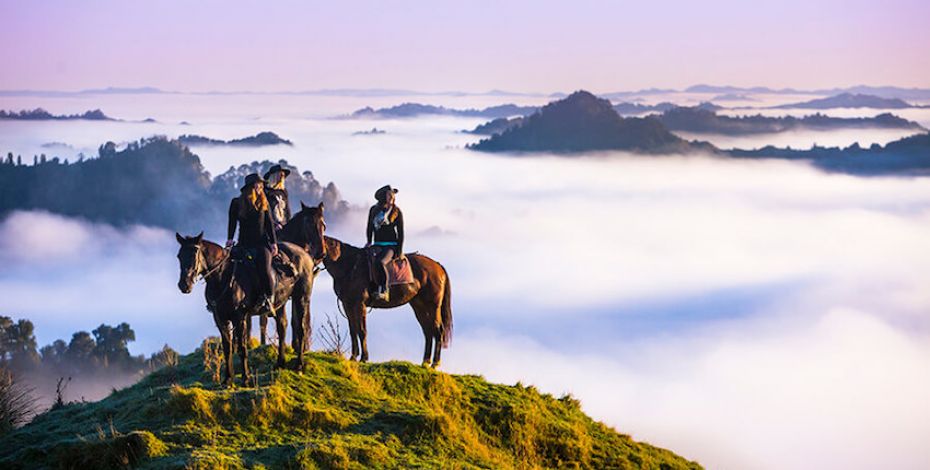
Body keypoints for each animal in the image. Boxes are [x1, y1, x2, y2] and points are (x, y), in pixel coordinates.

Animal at [176, 232, 318, 386]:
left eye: (194, 254)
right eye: (179, 256)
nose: (184, 285)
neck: (222, 276)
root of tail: (305, 254)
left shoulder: (240, 317)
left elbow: (242, 348)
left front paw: (246, 379)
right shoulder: (220, 318)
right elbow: (227, 348)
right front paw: (227, 379)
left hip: (301, 298)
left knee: (301, 329)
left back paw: (299, 366)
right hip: (280, 302)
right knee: (282, 327)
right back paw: (280, 363)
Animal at [290, 202, 450, 368]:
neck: (348, 264)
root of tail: (438, 266)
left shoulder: (359, 304)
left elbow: (362, 330)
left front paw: (364, 358)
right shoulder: (348, 305)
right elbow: (353, 330)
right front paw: (354, 357)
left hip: (432, 305)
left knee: (437, 330)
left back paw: (435, 363)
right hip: (419, 305)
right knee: (428, 331)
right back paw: (425, 362)